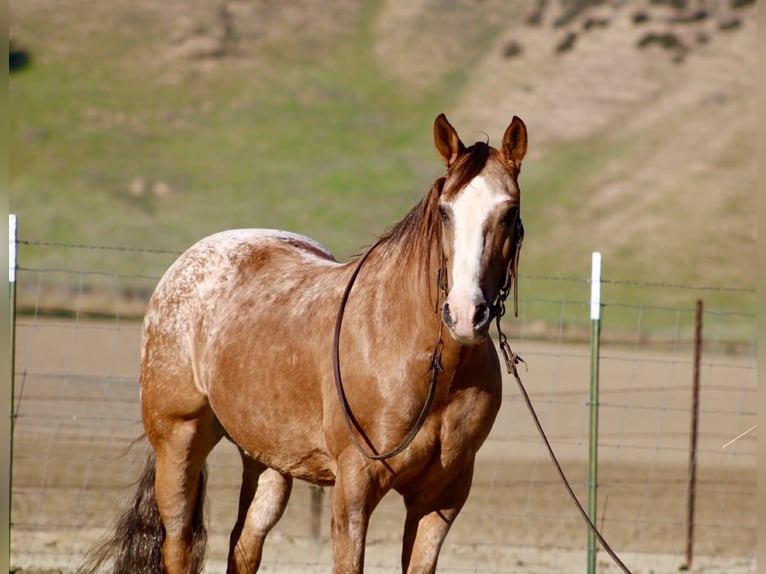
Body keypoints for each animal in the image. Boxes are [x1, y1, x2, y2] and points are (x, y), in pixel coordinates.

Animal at [80, 112, 527, 574]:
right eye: (444, 212)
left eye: (509, 212)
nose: (465, 314)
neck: (426, 365)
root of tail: (186, 264)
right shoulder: (354, 490)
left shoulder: (440, 498)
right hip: (179, 441)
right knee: (178, 545)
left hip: (266, 461)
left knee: (244, 546)